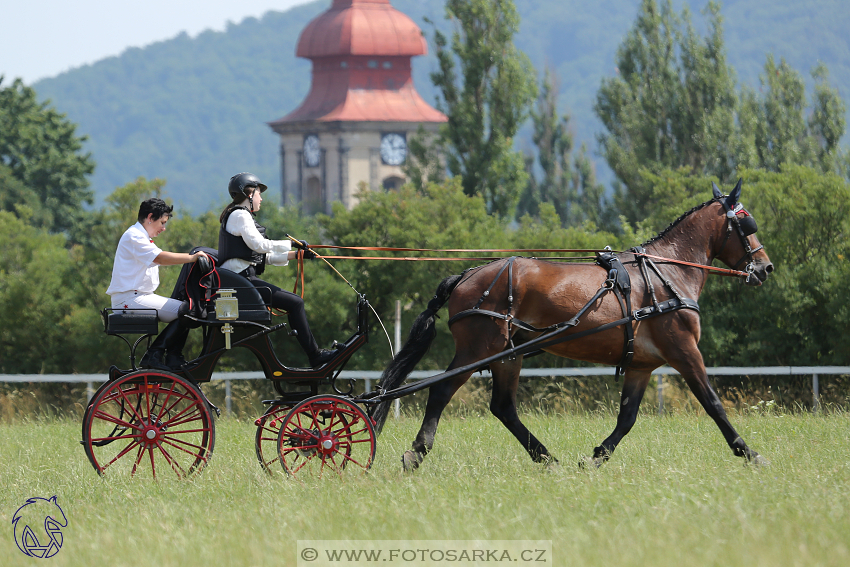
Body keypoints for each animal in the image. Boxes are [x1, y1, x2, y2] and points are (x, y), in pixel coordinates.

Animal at [374, 181, 772, 470]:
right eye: (746, 223)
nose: (765, 267)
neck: (668, 273)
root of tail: (467, 275)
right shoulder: (684, 350)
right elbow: (713, 403)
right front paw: (749, 453)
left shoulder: (642, 365)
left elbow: (627, 417)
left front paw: (595, 458)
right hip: (479, 349)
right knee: (442, 391)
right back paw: (417, 452)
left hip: (507, 355)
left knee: (503, 407)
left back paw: (546, 458)